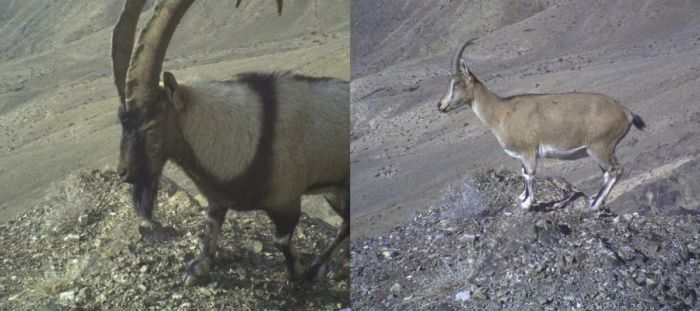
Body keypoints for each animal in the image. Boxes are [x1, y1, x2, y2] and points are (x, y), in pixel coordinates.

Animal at [112, 0, 350, 288]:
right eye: (121, 121)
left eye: (152, 125)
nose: (124, 172)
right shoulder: (217, 197)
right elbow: (212, 223)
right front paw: (198, 269)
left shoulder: (287, 200)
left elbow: (280, 239)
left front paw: (298, 271)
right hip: (333, 192)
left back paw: (325, 267)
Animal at [438, 37, 644, 211]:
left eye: (456, 83)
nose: (440, 105)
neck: (502, 111)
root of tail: (626, 112)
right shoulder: (523, 155)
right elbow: (523, 173)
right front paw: (521, 198)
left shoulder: (529, 151)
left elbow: (529, 174)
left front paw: (527, 204)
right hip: (599, 150)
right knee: (607, 173)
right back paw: (594, 199)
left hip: (601, 147)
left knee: (616, 170)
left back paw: (594, 205)